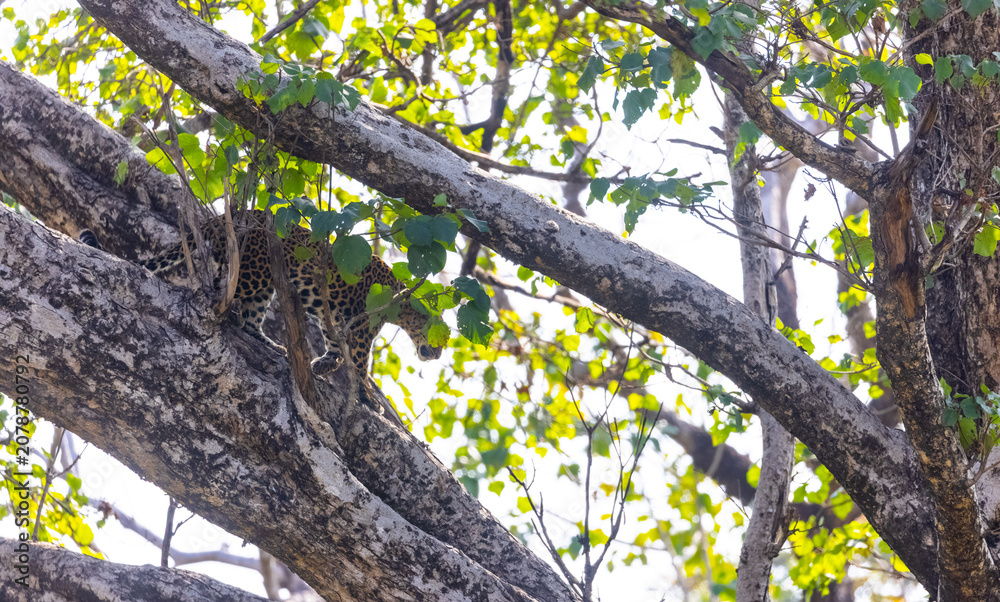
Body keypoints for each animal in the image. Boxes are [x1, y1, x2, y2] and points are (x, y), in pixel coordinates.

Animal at [79, 210, 442, 374]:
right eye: (437, 335)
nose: (437, 354)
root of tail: (220, 217)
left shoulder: (337, 319)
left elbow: (334, 342)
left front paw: (325, 363)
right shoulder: (363, 328)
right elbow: (360, 361)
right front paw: (368, 399)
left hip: (264, 283)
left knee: (250, 317)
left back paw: (271, 343)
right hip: (252, 272)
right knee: (214, 292)